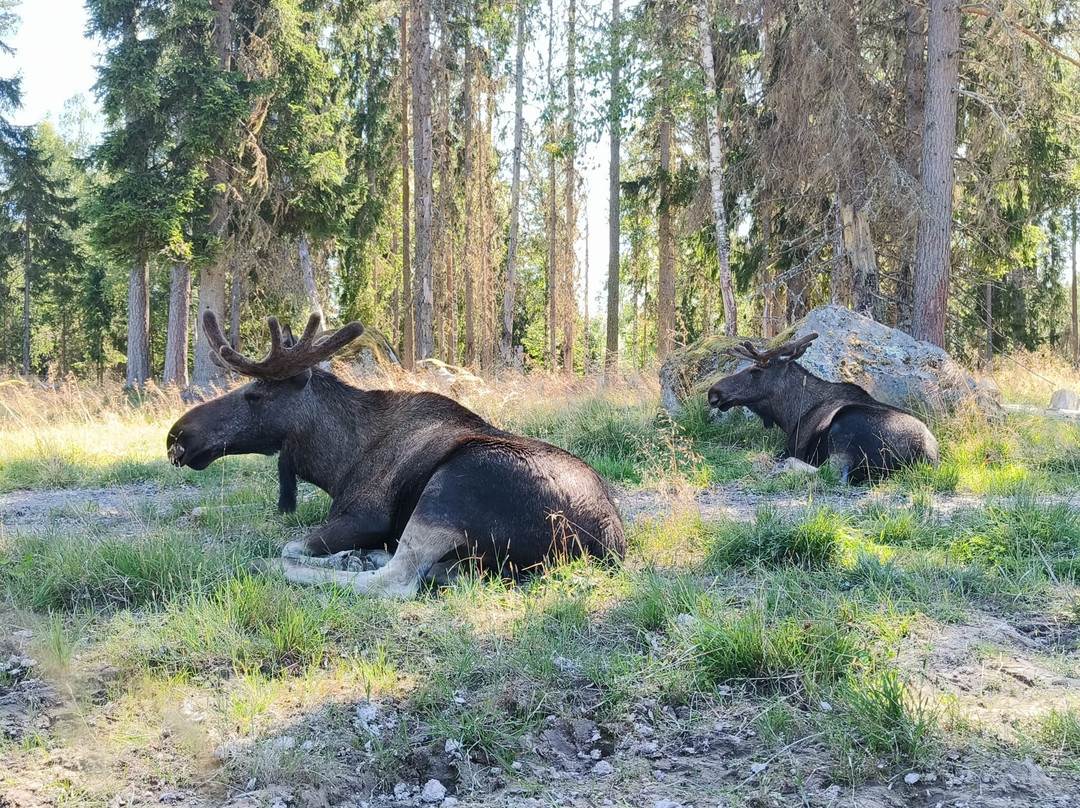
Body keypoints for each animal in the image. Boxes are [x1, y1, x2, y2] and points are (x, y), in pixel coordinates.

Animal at [167, 312, 626, 597]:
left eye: (255, 394)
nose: (177, 436)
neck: (337, 464)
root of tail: (610, 542)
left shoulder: (365, 514)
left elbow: (292, 546)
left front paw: (334, 556)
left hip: (450, 488)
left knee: (396, 581)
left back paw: (279, 567)